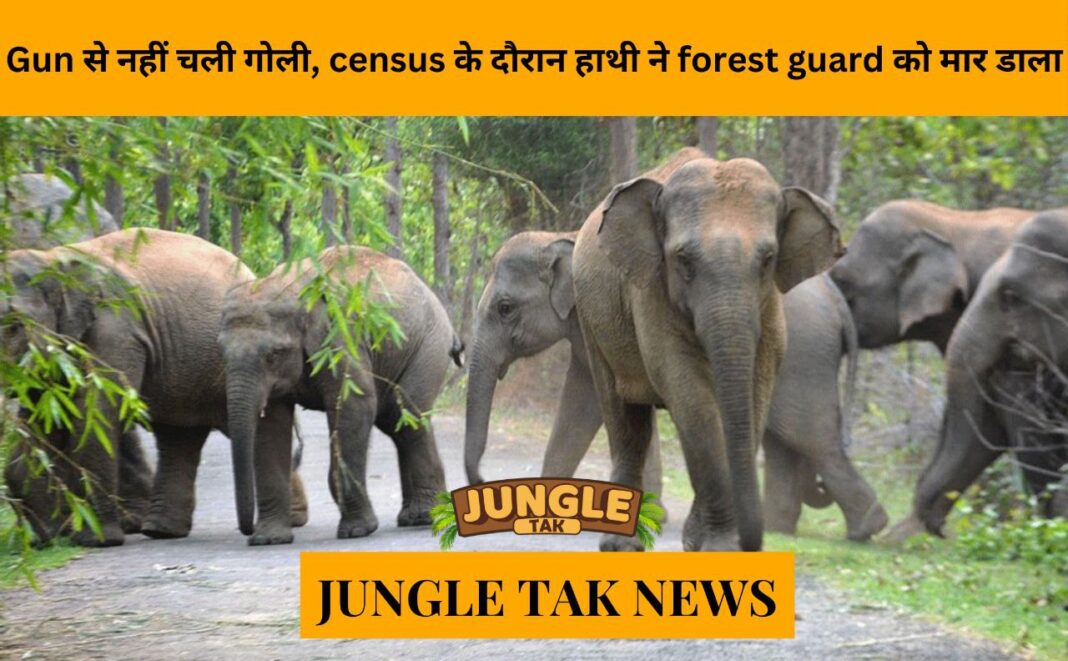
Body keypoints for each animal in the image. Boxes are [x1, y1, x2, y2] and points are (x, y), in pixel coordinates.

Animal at [2, 228, 308, 546]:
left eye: (13, 325)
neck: (52, 259)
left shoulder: (115, 329)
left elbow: (96, 413)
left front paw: (98, 540)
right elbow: (47, 416)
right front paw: (48, 536)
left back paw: (293, 520)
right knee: (179, 435)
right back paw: (161, 531)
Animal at [218, 245, 461, 545]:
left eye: (273, 355)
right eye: (221, 352)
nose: (247, 529)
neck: (290, 288)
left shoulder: (340, 338)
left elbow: (355, 406)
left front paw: (356, 531)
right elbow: (270, 425)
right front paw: (268, 540)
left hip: (429, 344)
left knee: (405, 417)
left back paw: (424, 517)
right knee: (395, 422)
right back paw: (416, 517)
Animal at [571, 148, 843, 552]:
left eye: (768, 259)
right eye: (684, 259)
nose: (754, 542)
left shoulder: (770, 306)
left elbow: (754, 390)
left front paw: (705, 544)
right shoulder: (651, 291)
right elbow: (690, 393)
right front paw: (720, 547)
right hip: (592, 318)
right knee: (626, 419)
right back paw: (621, 546)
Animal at [763, 272, 888, 541]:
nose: (820, 486)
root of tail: (831, 291)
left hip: (799, 351)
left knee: (807, 438)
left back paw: (865, 529)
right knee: (783, 439)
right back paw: (776, 530)